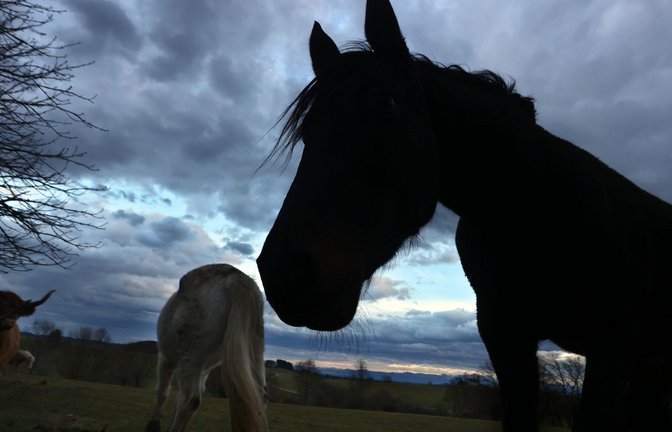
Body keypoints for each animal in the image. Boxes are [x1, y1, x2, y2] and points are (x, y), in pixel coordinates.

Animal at [146, 264, 267, 432]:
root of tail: (236, 277)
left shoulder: (165, 359)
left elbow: (162, 391)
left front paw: (154, 424)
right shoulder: (203, 371)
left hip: (189, 359)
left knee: (190, 401)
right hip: (255, 351)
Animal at [256, 1, 672, 431]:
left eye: (386, 101)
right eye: (307, 133)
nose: (284, 272)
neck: (535, 215)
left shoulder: (614, 347)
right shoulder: (506, 338)